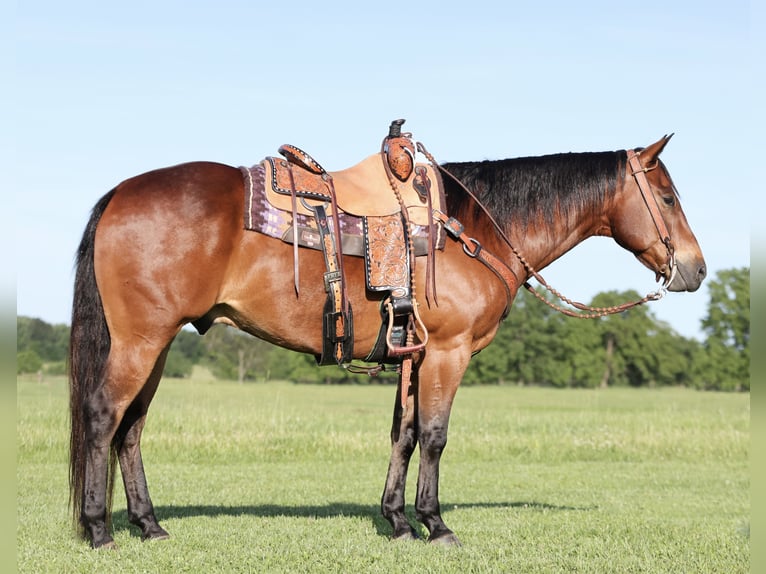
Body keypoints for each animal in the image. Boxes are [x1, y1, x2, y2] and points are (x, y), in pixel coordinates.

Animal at [67, 133, 708, 552]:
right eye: (668, 198)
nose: (696, 270)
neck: (476, 225)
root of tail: (120, 193)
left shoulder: (413, 355)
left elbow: (403, 435)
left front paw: (398, 520)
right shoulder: (447, 352)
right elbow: (435, 436)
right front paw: (436, 524)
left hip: (157, 345)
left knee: (132, 429)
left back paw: (149, 525)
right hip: (141, 341)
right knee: (103, 417)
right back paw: (99, 529)